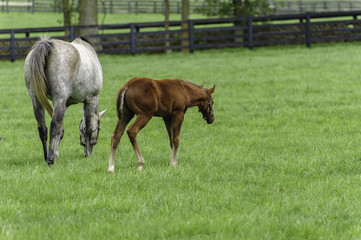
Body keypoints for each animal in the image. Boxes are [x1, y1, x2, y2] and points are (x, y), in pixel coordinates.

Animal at [24, 36, 104, 165]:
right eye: (99, 128)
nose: (89, 151)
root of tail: (46, 45)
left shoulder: (65, 104)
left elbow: (60, 130)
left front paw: (56, 153)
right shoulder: (91, 99)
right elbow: (88, 128)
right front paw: (87, 153)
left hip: (36, 100)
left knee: (43, 128)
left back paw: (46, 156)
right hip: (59, 99)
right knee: (53, 125)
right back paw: (50, 160)